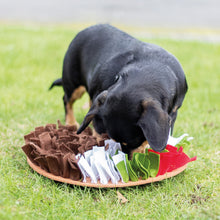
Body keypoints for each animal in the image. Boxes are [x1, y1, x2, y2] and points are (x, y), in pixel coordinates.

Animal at [49, 24, 187, 156]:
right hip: (74, 84)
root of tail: (86, 29)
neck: (151, 69)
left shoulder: (173, 113)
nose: (129, 160)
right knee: (67, 99)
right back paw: (71, 122)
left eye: (134, 142)